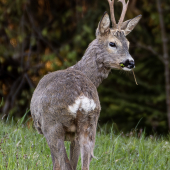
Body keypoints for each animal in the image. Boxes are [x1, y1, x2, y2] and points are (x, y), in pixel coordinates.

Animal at [30, 0, 141, 169]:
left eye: (127, 43)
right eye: (112, 43)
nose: (131, 62)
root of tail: (82, 97)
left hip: (53, 125)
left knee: (62, 163)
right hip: (90, 124)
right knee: (84, 163)